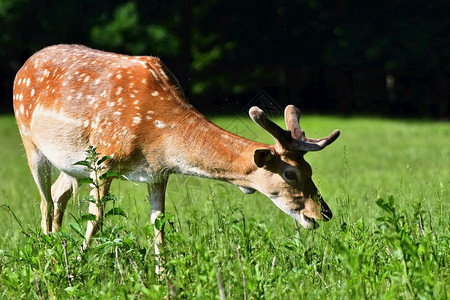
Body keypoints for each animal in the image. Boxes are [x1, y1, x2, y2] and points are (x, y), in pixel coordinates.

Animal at [12, 45, 340, 270]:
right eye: (290, 174)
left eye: (311, 170)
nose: (322, 213)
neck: (157, 134)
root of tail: (25, 64)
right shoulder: (103, 159)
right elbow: (97, 218)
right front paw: (77, 268)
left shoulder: (157, 173)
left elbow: (159, 223)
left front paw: (162, 276)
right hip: (30, 141)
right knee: (45, 200)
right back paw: (48, 253)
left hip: (72, 164)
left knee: (58, 194)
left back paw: (57, 245)